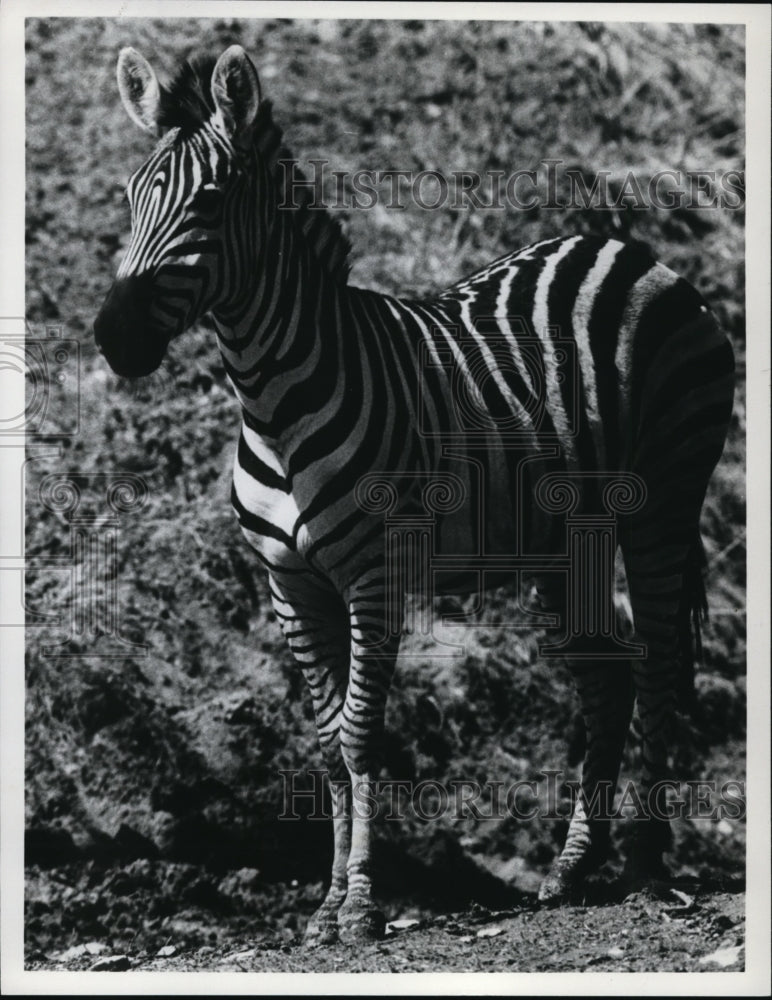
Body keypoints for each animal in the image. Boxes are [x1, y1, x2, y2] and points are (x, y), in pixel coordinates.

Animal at [95, 43, 736, 940]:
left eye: (211, 203)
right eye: (131, 195)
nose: (112, 338)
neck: (271, 401)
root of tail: (620, 249)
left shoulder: (374, 576)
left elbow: (360, 736)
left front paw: (361, 904)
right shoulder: (290, 583)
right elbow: (326, 745)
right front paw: (326, 905)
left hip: (667, 496)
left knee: (662, 666)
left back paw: (644, 863)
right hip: (562, 540)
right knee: (605, 678)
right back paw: (572, 871)